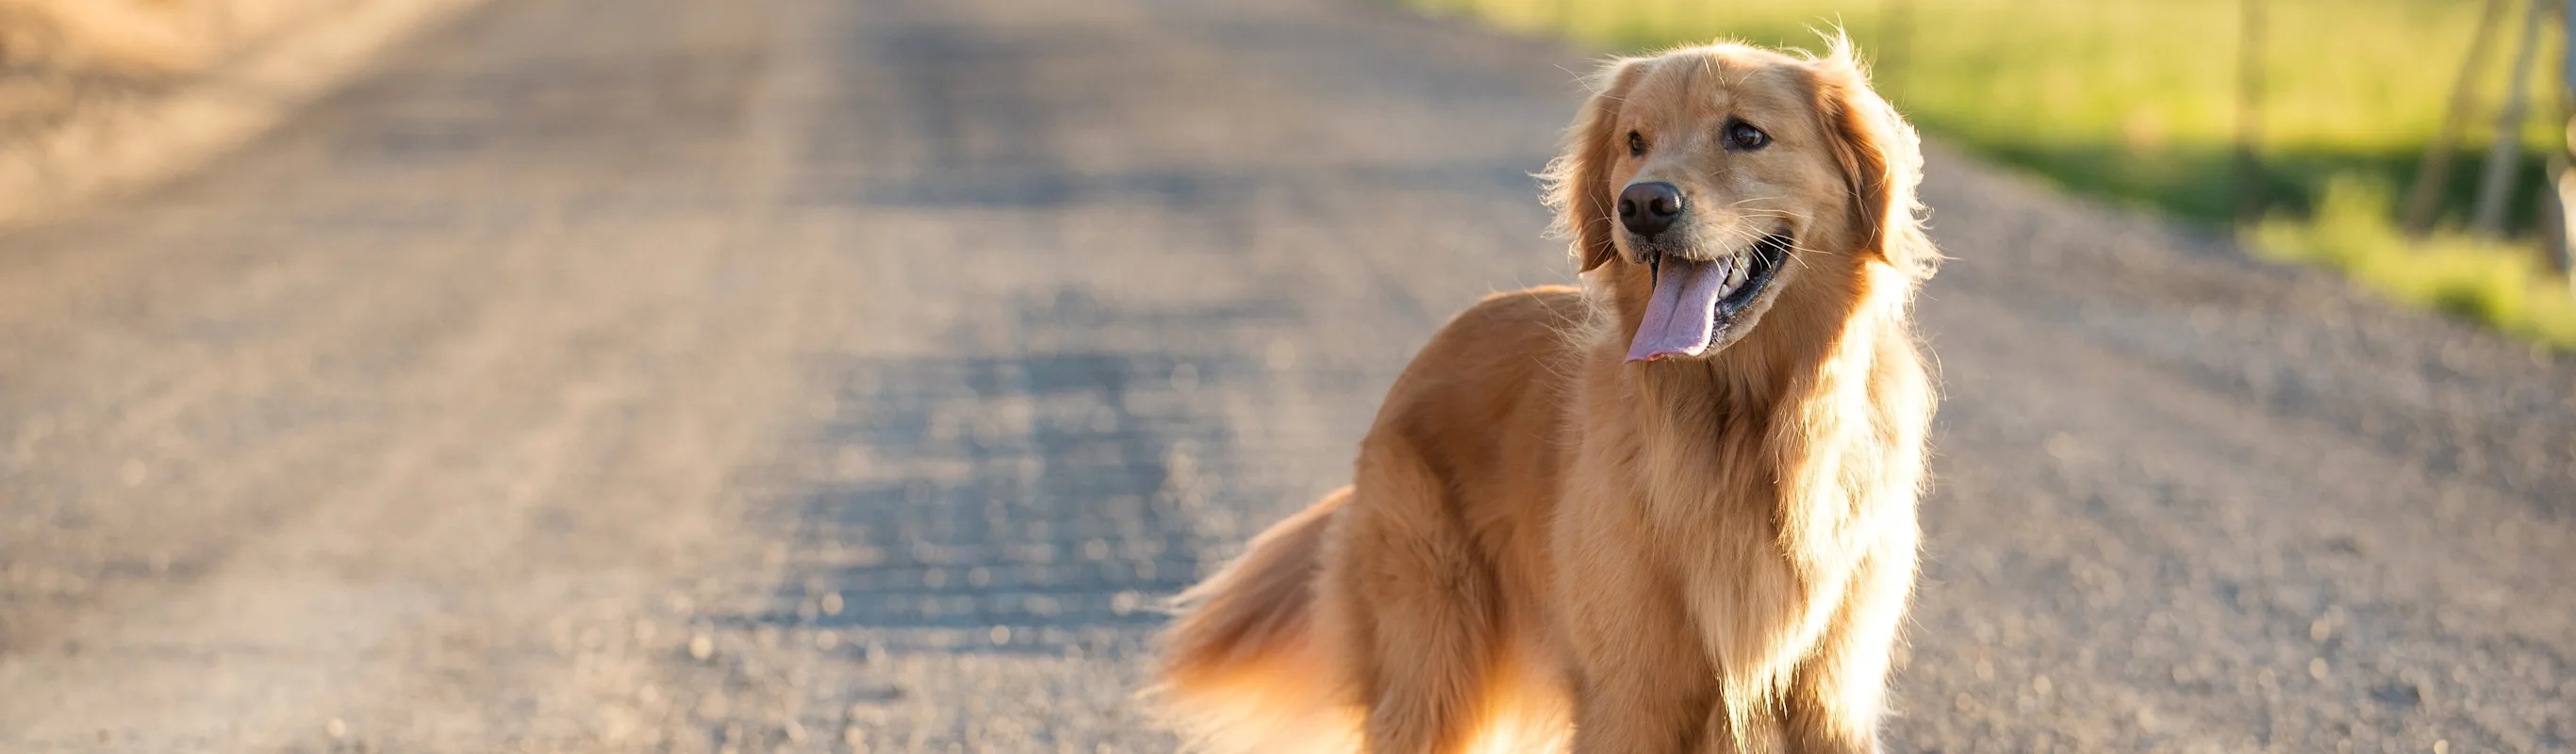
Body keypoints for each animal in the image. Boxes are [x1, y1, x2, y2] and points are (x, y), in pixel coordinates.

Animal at [1153, 41, 1937, 751]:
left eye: (1745, 134)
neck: (1750, 425)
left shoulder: (1830, 703)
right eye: (1634, 142)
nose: (1642, 204)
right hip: (1434, 667)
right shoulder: (1630, 701)